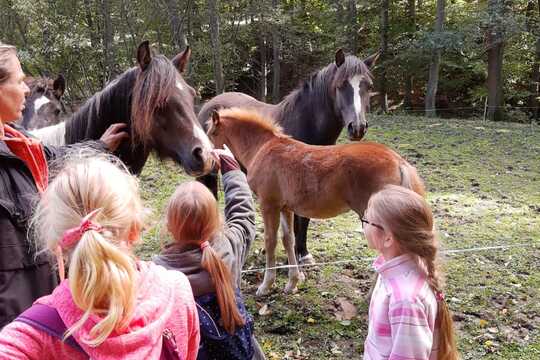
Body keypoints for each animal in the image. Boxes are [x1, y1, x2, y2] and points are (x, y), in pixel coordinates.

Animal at [198, 48, 380, 264]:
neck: (303, 124)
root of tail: (209, 104)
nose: (358, 127)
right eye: (341, 85)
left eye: (368, 86)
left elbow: (305, 218)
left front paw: (303, 252)